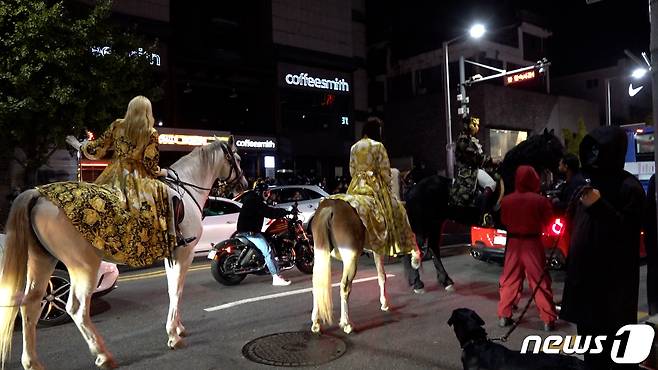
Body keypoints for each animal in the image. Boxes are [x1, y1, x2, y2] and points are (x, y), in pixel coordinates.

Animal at [0, 137, 246, 370]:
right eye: (237, 159)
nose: (242, 185)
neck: (186, 189)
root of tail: (38, 195)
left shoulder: (172, 256)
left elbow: (171, 290)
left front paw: (178, 328)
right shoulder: (184, 253)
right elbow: (177, 291)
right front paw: (174, 336)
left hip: (43, 260)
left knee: (30, 305)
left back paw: (32, 362)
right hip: (83, 266)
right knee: (76, 308)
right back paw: (103, 355)